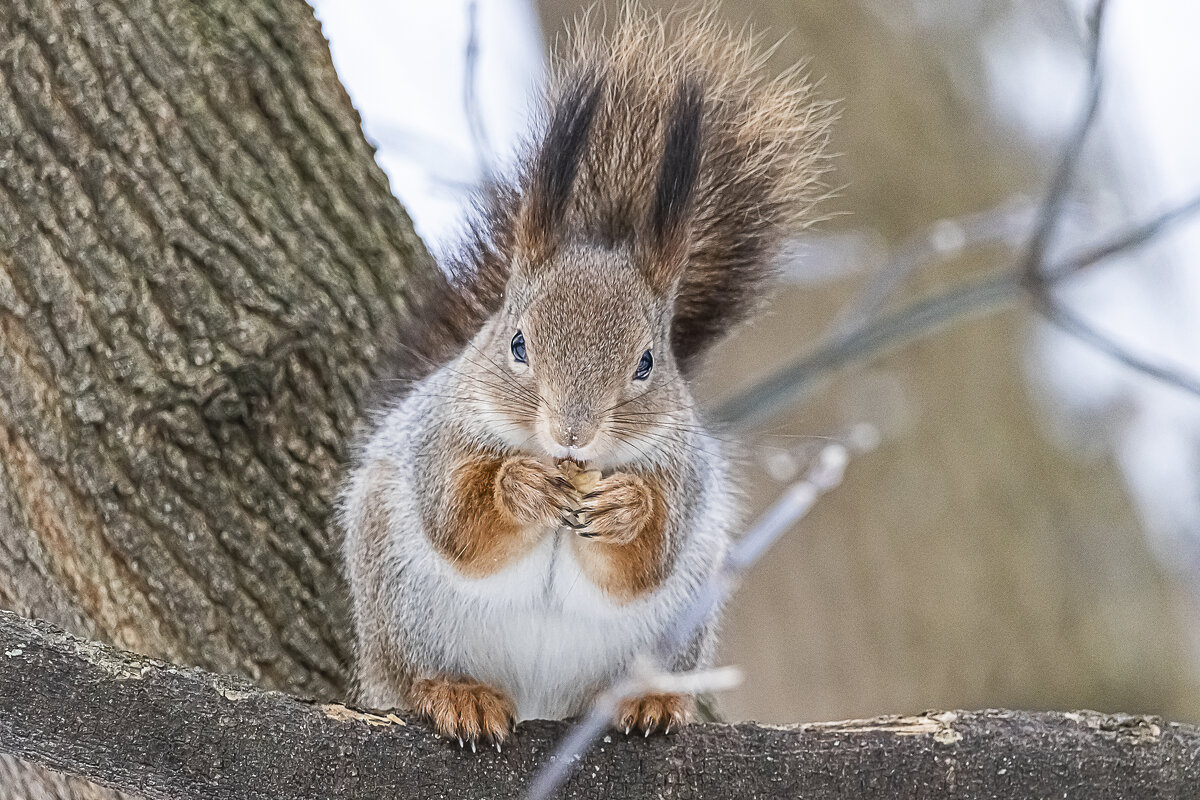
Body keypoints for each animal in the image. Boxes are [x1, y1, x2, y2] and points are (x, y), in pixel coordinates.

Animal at [338, 7, 825, 753]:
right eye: (516, 344)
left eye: (648, 363)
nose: (573, 432)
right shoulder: (437, 442)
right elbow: (459, 524)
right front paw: (519, 486)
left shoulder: (683, 476)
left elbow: (646, 560)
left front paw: (627, 508)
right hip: (396, 603)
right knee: (411, 675)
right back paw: (456, 693)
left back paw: (645, 700)